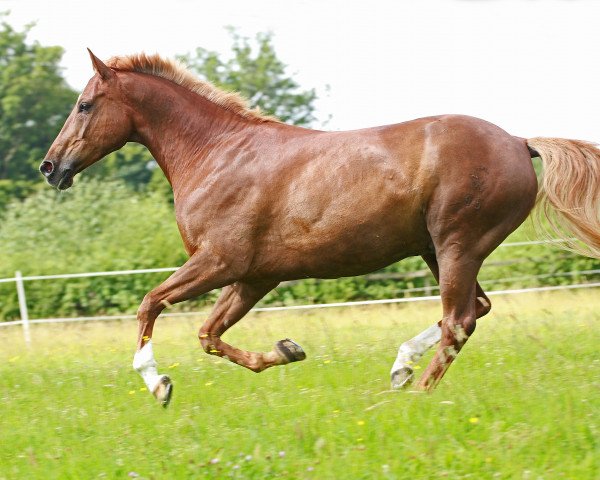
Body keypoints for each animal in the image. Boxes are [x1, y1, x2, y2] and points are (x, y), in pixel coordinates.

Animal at [41, 51, 600, 404]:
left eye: (84, 105)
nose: (51, 167)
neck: (217, 154)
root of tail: (519, 142)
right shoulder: (253, 277)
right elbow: (209, 335)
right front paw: (288, 350)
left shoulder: (218, 261)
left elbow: (150, 304)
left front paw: (159, 386)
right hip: (436, 250)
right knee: (473, 311)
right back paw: (401, 369)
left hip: (457, 244)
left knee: (459, 319)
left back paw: (415, 394)